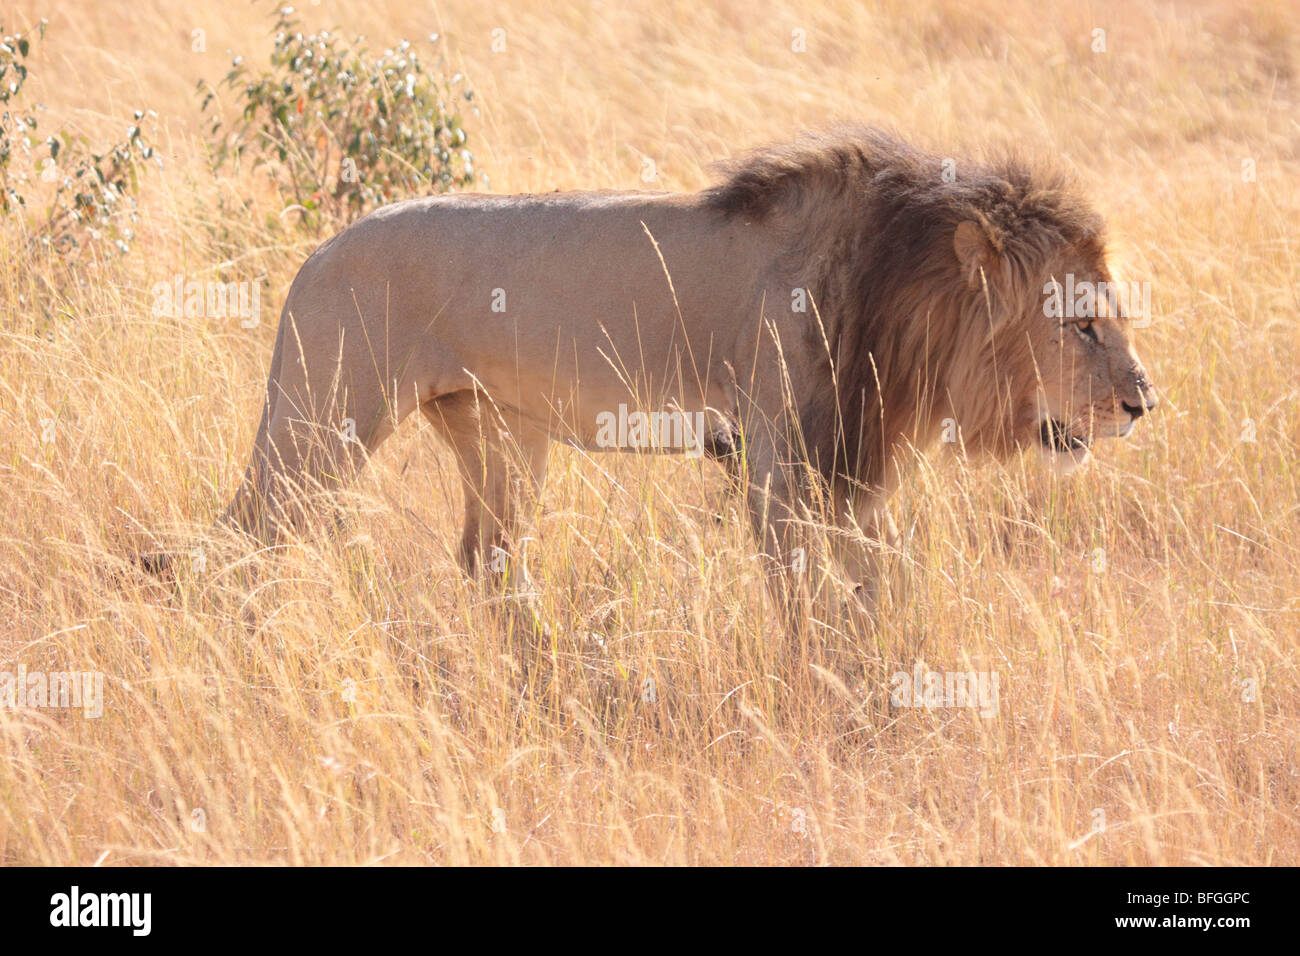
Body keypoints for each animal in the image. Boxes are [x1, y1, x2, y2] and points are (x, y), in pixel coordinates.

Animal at [142, 125, 1159, 621]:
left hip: (497, 434)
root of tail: (314, 255)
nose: (1142, 404)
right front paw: (838, 699)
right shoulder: (783, 466)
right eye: (1080, 325)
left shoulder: (849, 465)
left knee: (487, 560)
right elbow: (816, 601)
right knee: (240, 542)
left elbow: (874, 586)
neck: (896, 293)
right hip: (320, 425)